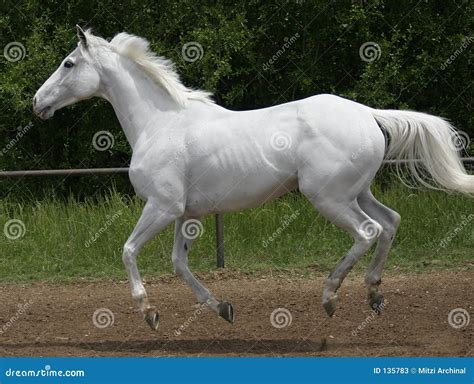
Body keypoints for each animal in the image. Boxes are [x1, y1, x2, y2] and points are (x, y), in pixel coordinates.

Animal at [32, 27, 470, 330]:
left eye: (68, 63)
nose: (37, 103)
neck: (159, 124)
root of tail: (366, 112)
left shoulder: (162, 206)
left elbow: (127, 250)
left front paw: (149, 312)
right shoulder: (186, 214)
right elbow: (178, 263)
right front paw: (223, 308)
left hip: (328, 197)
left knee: (368, 231)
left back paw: (330, 297)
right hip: (356, 191)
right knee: (390, 222)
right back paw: (374, 293)